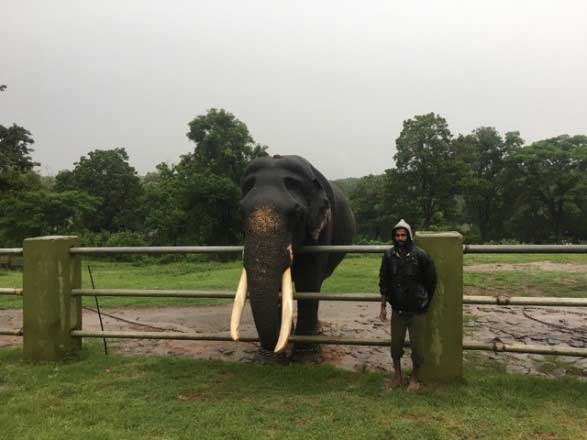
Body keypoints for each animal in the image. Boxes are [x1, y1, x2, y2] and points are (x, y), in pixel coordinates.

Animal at [231, 155, 358, 354]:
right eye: (240, 213)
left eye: (297, 214)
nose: (273, 348)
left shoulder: (323, 227)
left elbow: (308, 278)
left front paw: (305, 350)